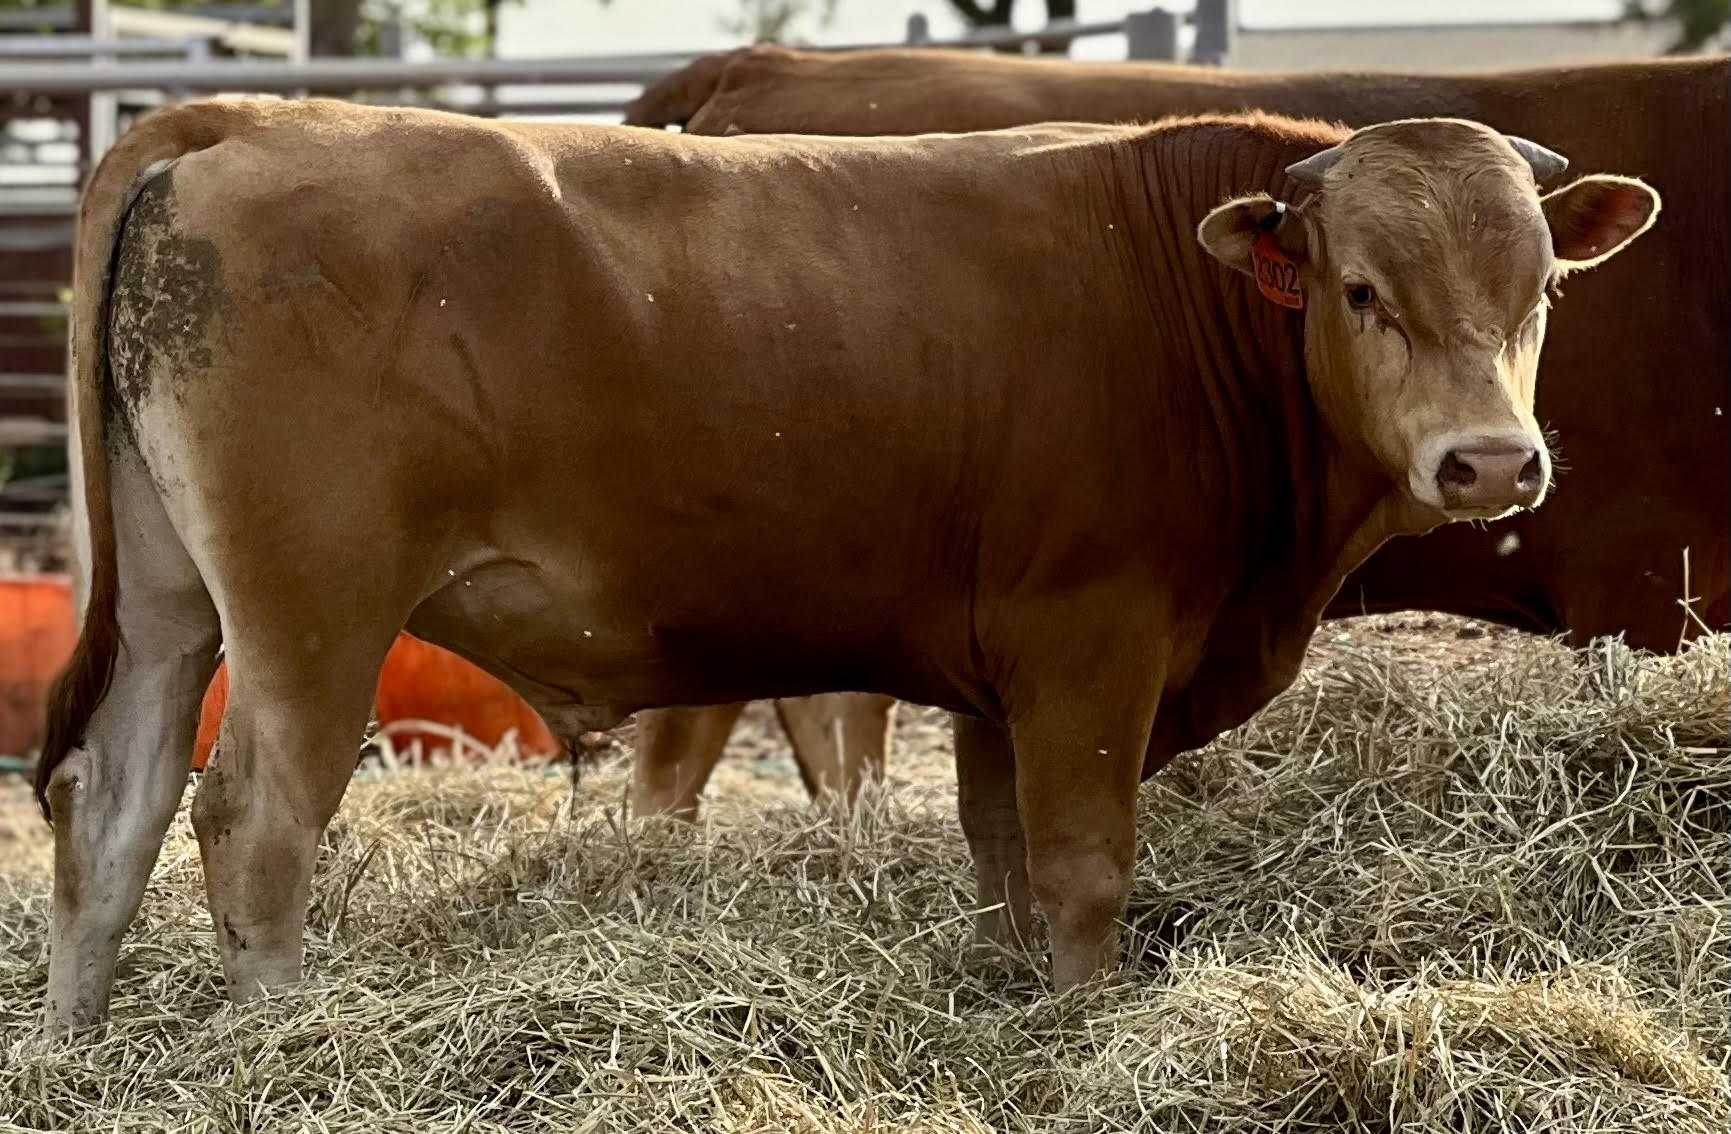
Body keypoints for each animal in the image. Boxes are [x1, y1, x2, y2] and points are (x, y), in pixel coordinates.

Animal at [37, 95, 1647, 1031]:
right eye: (1361, 290)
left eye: (1540, 289)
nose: (1490, 463)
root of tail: (249, 122)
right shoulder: (1091, 643)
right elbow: (1082, 870)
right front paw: (1083, 1032)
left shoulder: (1005, 683)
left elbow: (1003, 864)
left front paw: (1019, 1011)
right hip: (314, 612)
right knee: (252, 821)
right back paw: (274, 1043)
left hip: (173, 604)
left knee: (108, 811)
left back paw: (74, 1053)